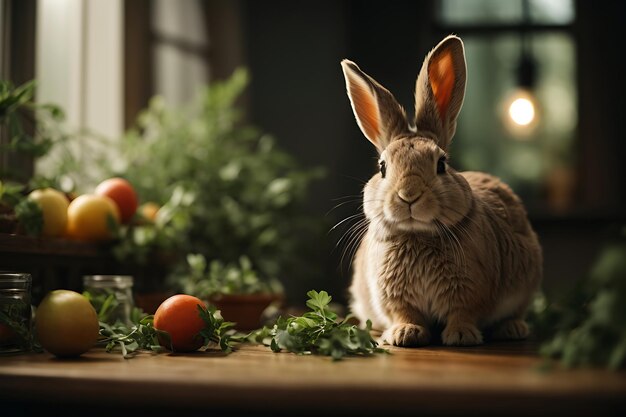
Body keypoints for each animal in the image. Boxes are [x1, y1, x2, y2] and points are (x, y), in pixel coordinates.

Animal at [338, 35, 540, 346]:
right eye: (383, 167)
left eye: (441, 164)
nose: (409, 195)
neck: (417, 234)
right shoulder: (395, 298)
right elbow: (405, 314)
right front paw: (405, 334)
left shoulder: (470, 291)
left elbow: (462, 312)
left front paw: (461, 336)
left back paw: (513, 329)